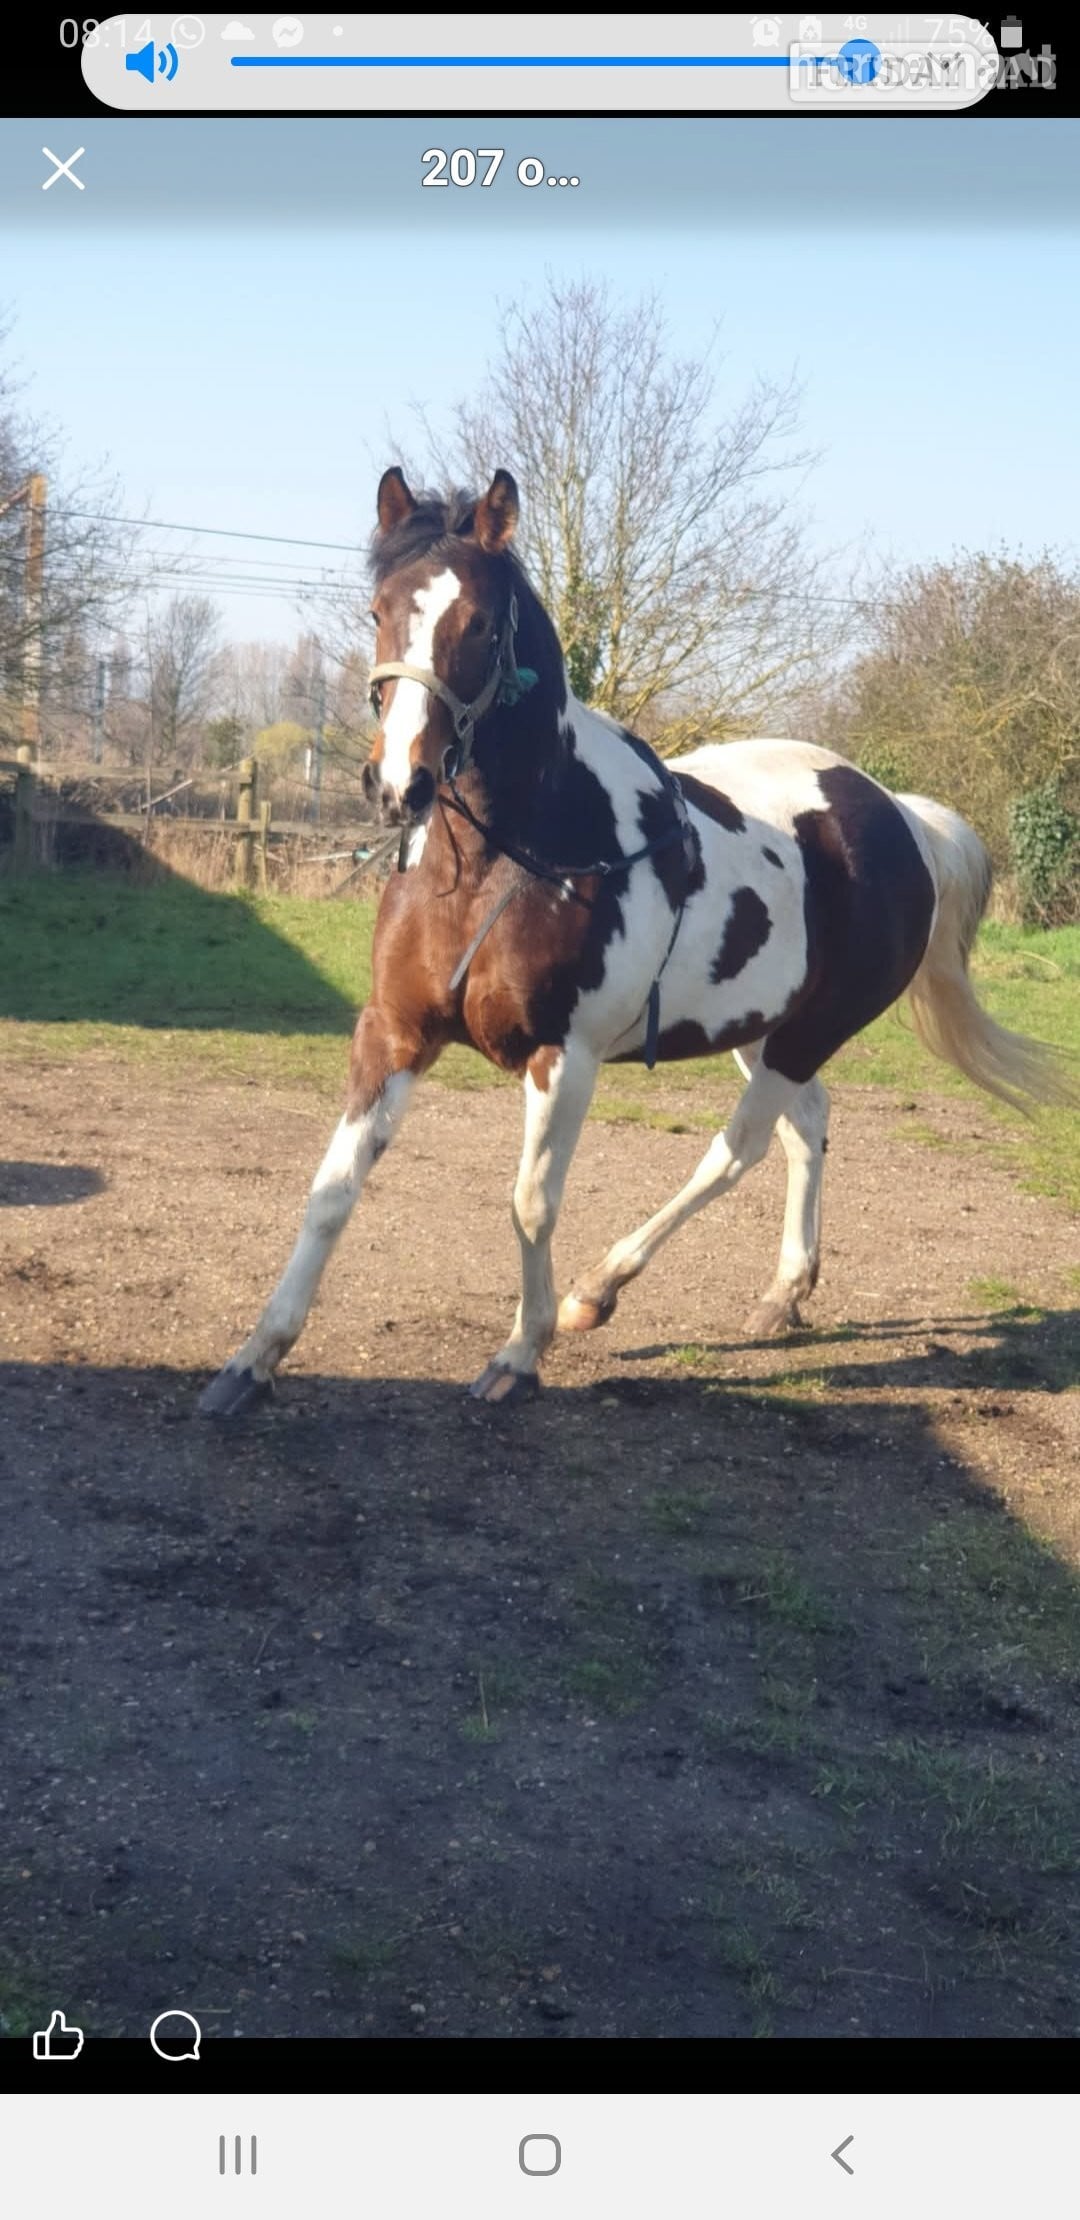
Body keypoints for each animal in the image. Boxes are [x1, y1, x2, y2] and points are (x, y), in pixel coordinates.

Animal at [199, 466, 1075, 1417]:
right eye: (378, 610)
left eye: (480, 622)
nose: (400, 783)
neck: (502, 864)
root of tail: (900, 817)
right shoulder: (393, 1033)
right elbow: (332, 1190)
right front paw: (253, 1359)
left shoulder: (564, 1056)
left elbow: (531, 1203)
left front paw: (522, 1351)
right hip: (765, 1030)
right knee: (806, 1126)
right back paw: (783, 1292)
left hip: (807, 1033)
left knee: (738, 1150)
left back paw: (599, 1289)